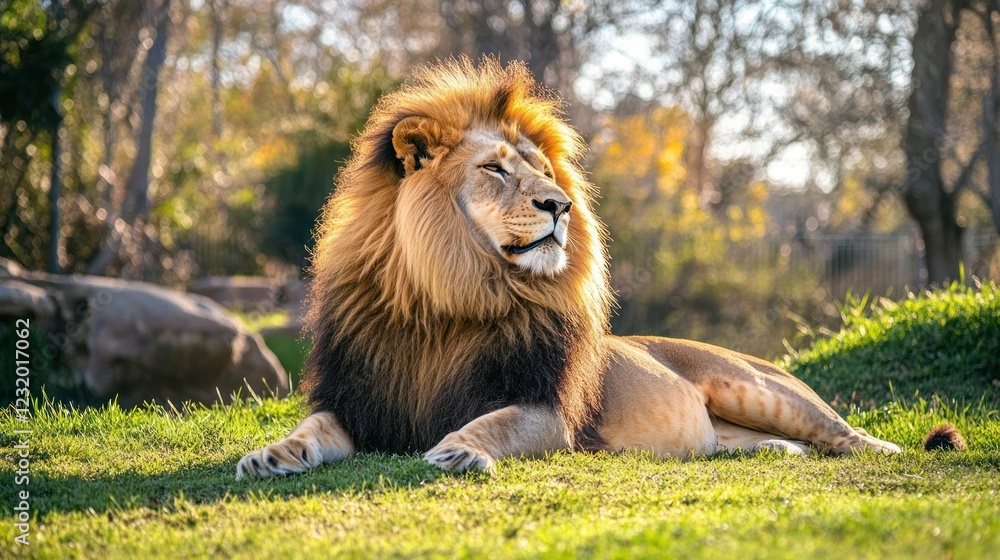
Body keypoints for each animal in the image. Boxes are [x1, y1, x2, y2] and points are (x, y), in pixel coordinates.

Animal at [236, 58, 901, 479]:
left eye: (546, 173)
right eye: (495, 169)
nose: (560, 205)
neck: (451, 299)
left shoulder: (547, 411)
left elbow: (498, 423)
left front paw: (458, 450)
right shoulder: (361, 400)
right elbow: (311, 428)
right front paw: (271, 455)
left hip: (758, 388)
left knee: (840, 432)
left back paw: (888, 450)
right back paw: (773, 455)